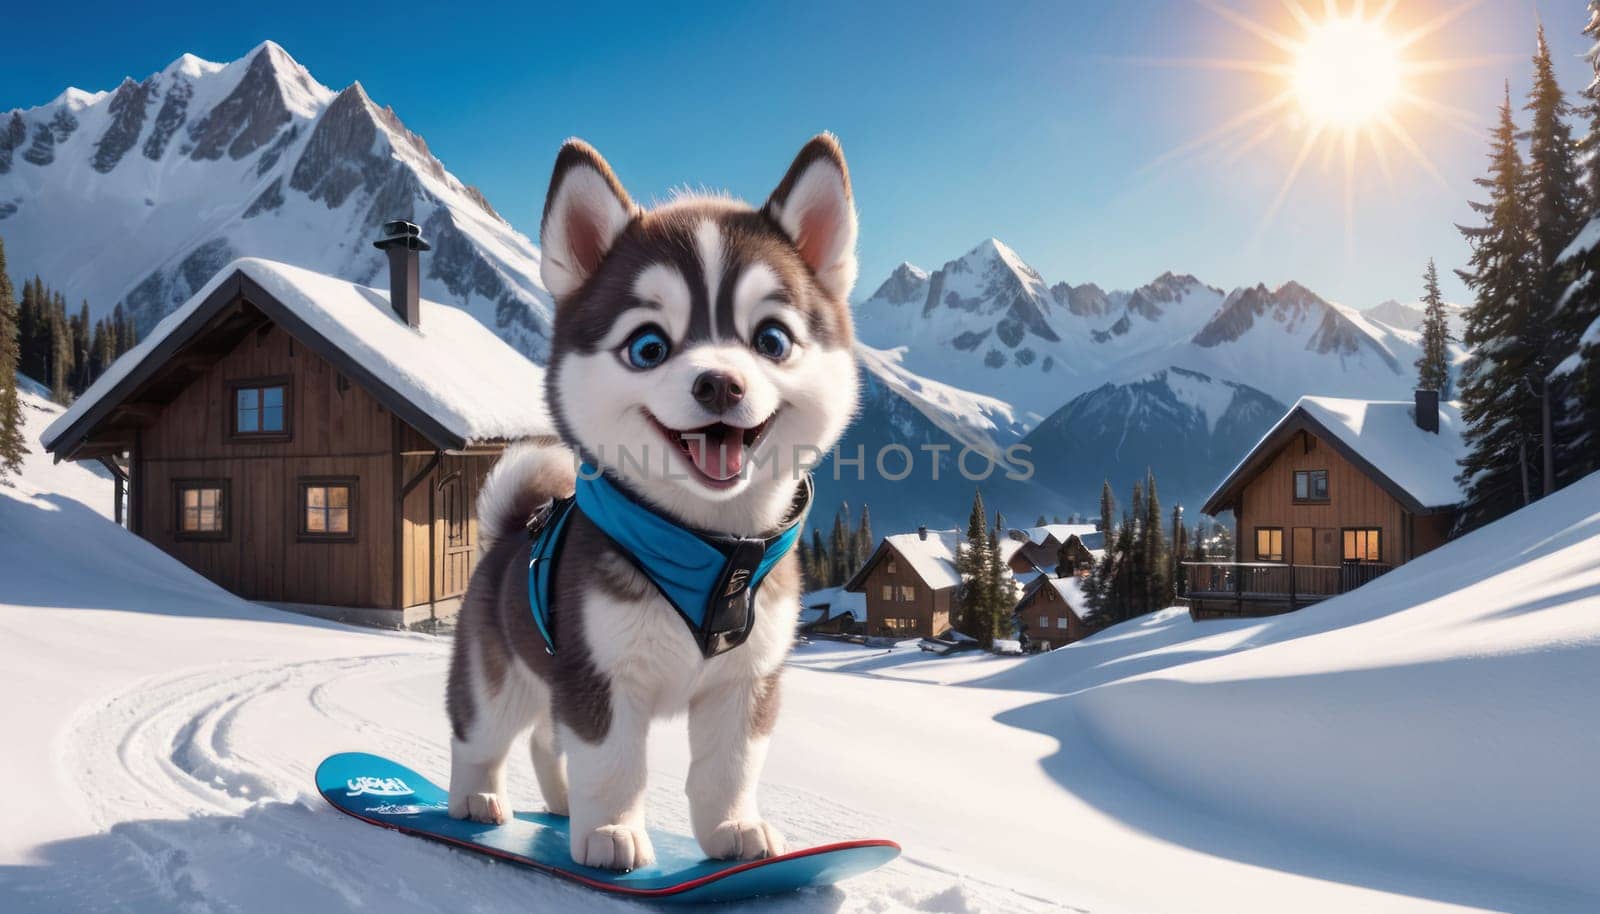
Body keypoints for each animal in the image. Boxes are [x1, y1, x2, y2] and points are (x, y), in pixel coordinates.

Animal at [438, 136, 864, 870]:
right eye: (648, 347)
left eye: (772, 340)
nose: (719, 383)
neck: (708, 547)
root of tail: (511, 531)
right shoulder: (600, 671)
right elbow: (613, 762)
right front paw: (612, 832)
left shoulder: (746, 680)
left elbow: (728, 766)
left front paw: (731, 830)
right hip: (500, 675)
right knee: (481, 733)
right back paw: (477, 799)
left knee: (547, 739)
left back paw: (560, 806)